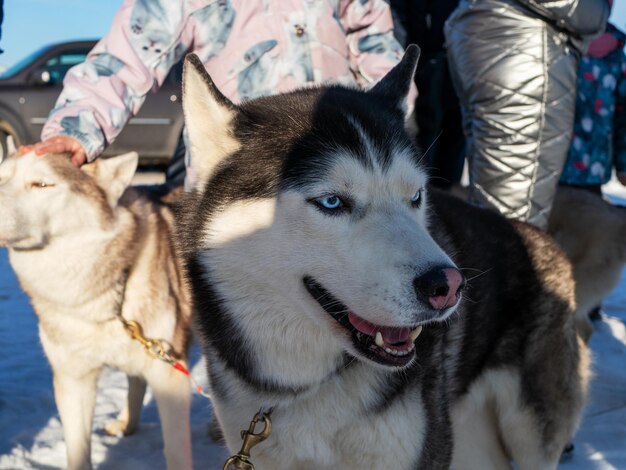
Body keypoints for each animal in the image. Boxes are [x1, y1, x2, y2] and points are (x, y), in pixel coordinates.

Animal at [0, 149, 193, 468]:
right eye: (0, 178)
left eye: (41, 184)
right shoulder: (73, 380)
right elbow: (78, 451)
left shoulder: (170, 377)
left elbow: (177, 454)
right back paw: (127, 424)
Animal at [178, 48, 588, 470]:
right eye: (332, 202)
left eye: (416, 196)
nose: (449, 286)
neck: (302, 386)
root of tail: (540, 238)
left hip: (529, 434)